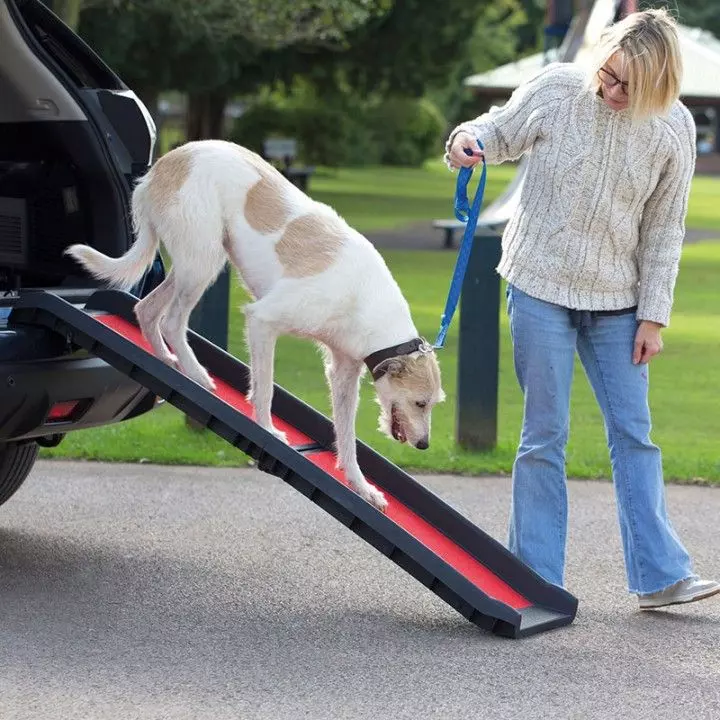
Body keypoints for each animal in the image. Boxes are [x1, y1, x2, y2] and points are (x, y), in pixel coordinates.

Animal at [66, 139, 444, 512]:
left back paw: (169, 361)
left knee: (146, 310)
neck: (368, 304)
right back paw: (197, 373)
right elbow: (265, 389)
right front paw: (268, 429)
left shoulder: (344, 371)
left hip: (192, 263)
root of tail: (164, 164)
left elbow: (347, 436)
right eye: (420, 403)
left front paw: (361, 487)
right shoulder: (263, 320)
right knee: (172, 321)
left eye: (432, 404)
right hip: (203, 261)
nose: (425, 445)